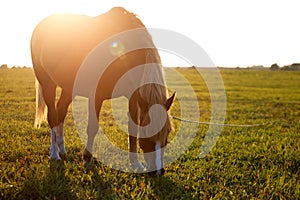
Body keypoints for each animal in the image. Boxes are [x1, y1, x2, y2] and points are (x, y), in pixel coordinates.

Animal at [29, 6, 176, 175]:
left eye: (168, 132)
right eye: (148, 132)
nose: (158, 171)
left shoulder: (133, 96)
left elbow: (132, 128)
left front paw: (136, 164)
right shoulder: (95, 96)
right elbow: (92, 127)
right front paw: (87, 159)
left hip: (69, 88)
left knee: (61, 112)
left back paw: (62, 149)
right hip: (48, 83)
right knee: (53, 116)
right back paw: (54, 154)